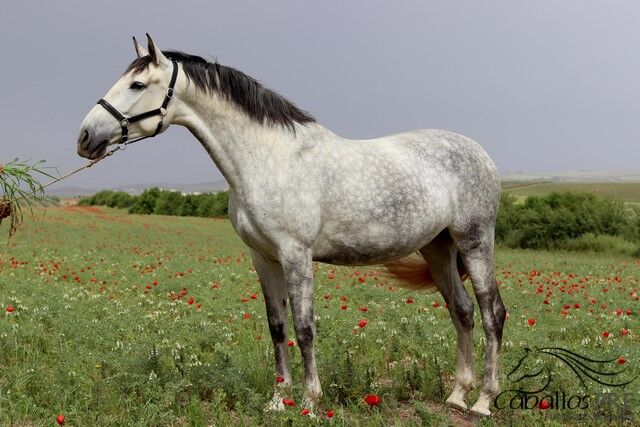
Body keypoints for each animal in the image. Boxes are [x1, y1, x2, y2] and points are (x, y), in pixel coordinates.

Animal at [77, 34, 506, 416]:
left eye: (137, 84)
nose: (85, 137)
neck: (268, 158)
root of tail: (480, 153)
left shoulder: (295, 254)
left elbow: (304, 327)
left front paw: (310, 402)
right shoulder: (263, 257)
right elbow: (277, 326)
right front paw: (277, 399)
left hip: (474, 242)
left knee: (492, 312)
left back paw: (483, 401)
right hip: (438, 248)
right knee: (462, 311)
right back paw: (456, 396)